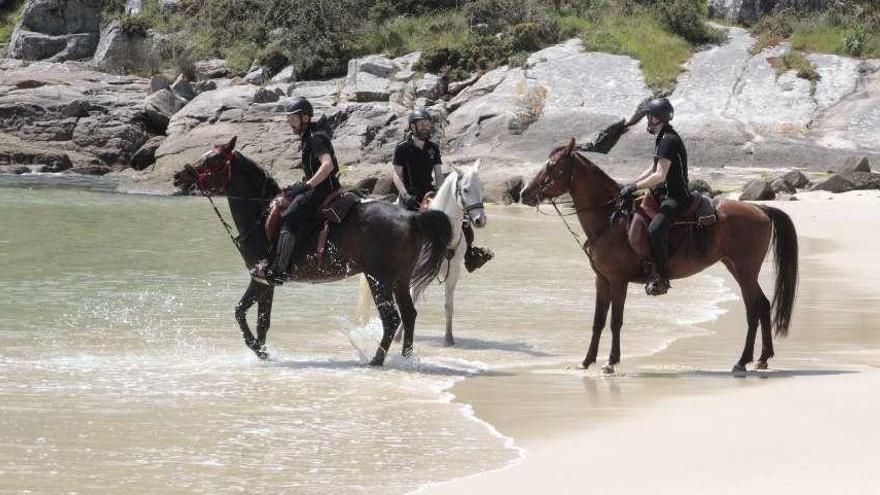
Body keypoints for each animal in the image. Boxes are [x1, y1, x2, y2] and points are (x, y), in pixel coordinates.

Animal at [171, 138, 450, 366]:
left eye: (213, 159)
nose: (179, 175)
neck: (260, 214)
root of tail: (412, 216)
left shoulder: (258, 278)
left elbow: (239, 312)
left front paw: (257, 349)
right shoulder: (267, 282)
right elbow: (262, 321)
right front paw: (263, 351)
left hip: (378, 280)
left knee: (392, 319)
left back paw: (377, 360)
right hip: (400, 280)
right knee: (409, 315)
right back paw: (407, 357)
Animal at [358, 161, 488, 346]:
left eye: (481, 187)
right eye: (465, 190)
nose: (480, 221)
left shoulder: (453, 271)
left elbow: (448, 304)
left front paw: (449, 338)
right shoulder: (413, 272)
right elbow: (411, 300)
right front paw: (398, 337)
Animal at [524, 138, 796, 374]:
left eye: (552, 166)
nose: (524, 193)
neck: (610, 220)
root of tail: (761, 209)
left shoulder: (618, 281)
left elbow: (615, 321)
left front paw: (611, 362)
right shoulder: (602, 280)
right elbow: (598, 321)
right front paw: (586, 360)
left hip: (744, 270)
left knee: (754, 309)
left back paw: (743, 361)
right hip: (738, 268)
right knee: (763, 305)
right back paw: (762, 359)